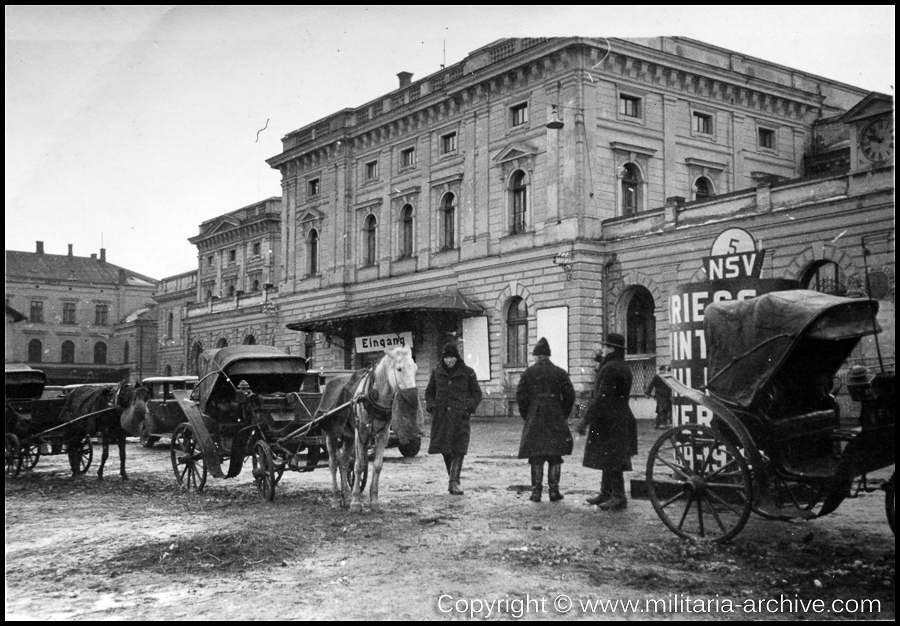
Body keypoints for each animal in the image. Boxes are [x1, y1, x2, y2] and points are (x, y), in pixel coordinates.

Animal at [324, 344, 418, 510]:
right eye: (399, 369)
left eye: (415, 368)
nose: (413, 398)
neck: (374, 396)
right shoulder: (361, 432)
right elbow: (359, 465)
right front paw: (356, 502)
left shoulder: (383, 435)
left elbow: (377, 465)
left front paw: (374, 499)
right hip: (332, 434)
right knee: (333, 463)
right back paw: (336, 498)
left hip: (349, 437)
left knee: (343, 462)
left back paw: (346, 495)